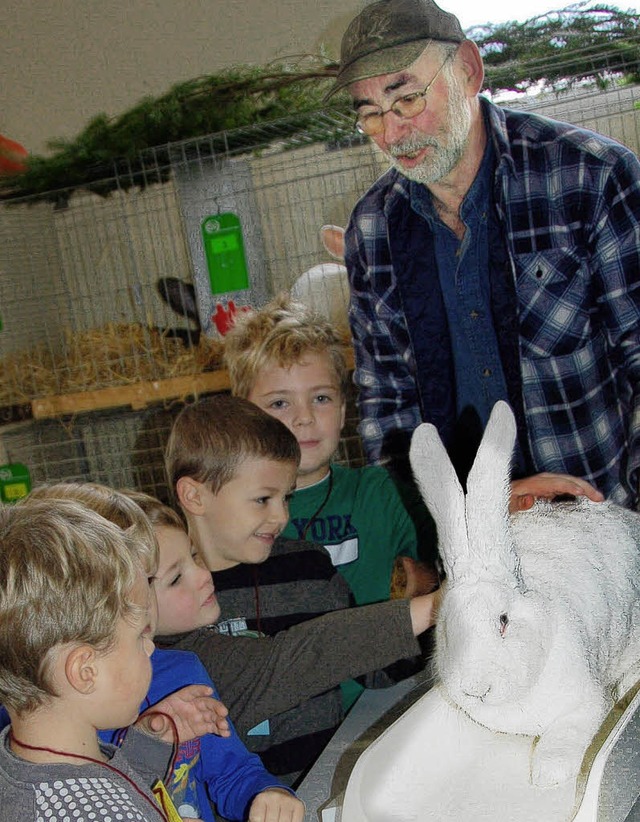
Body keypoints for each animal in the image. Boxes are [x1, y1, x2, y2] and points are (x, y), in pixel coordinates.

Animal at [408, 402, 640, 788]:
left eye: (504, 621)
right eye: (446, 631)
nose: (476, 690)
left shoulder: (584, 704)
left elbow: (568, 733)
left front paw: (548, 775)